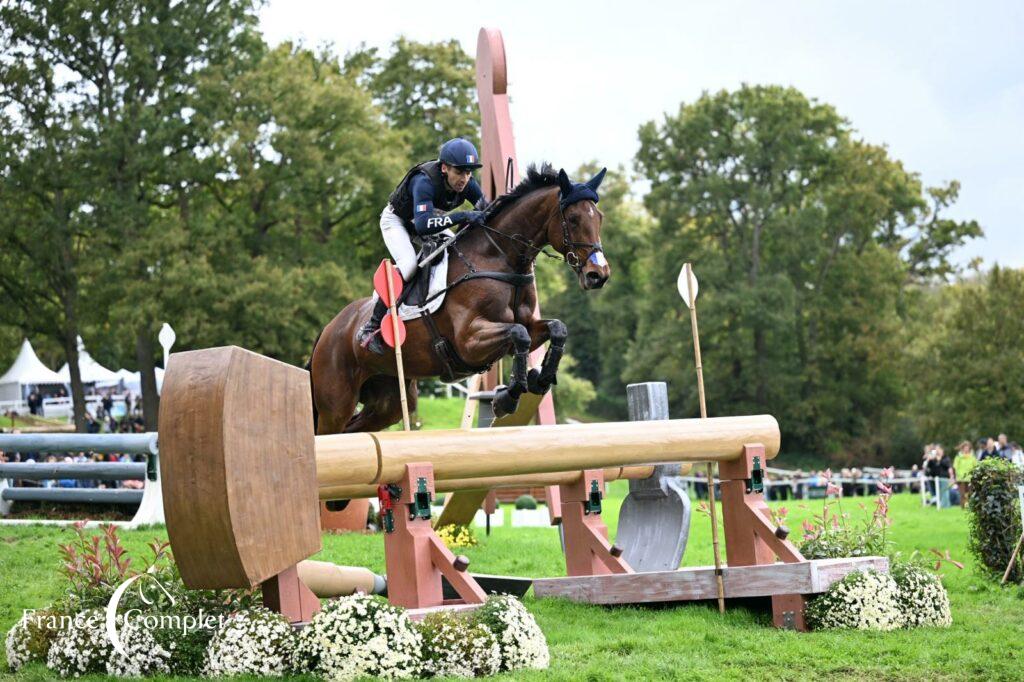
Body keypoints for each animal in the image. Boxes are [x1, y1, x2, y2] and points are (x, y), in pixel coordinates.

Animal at [303, 161, 606, 432]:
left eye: (599, 217)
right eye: (573, 219)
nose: (598, 274)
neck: (498, 257)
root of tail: (328, 330)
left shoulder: (528, 326)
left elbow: (556, 329)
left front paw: (540, 379)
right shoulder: (470, 341)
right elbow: (519, 334)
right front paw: (508, 397)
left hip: (387, 401)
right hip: (336, 402)